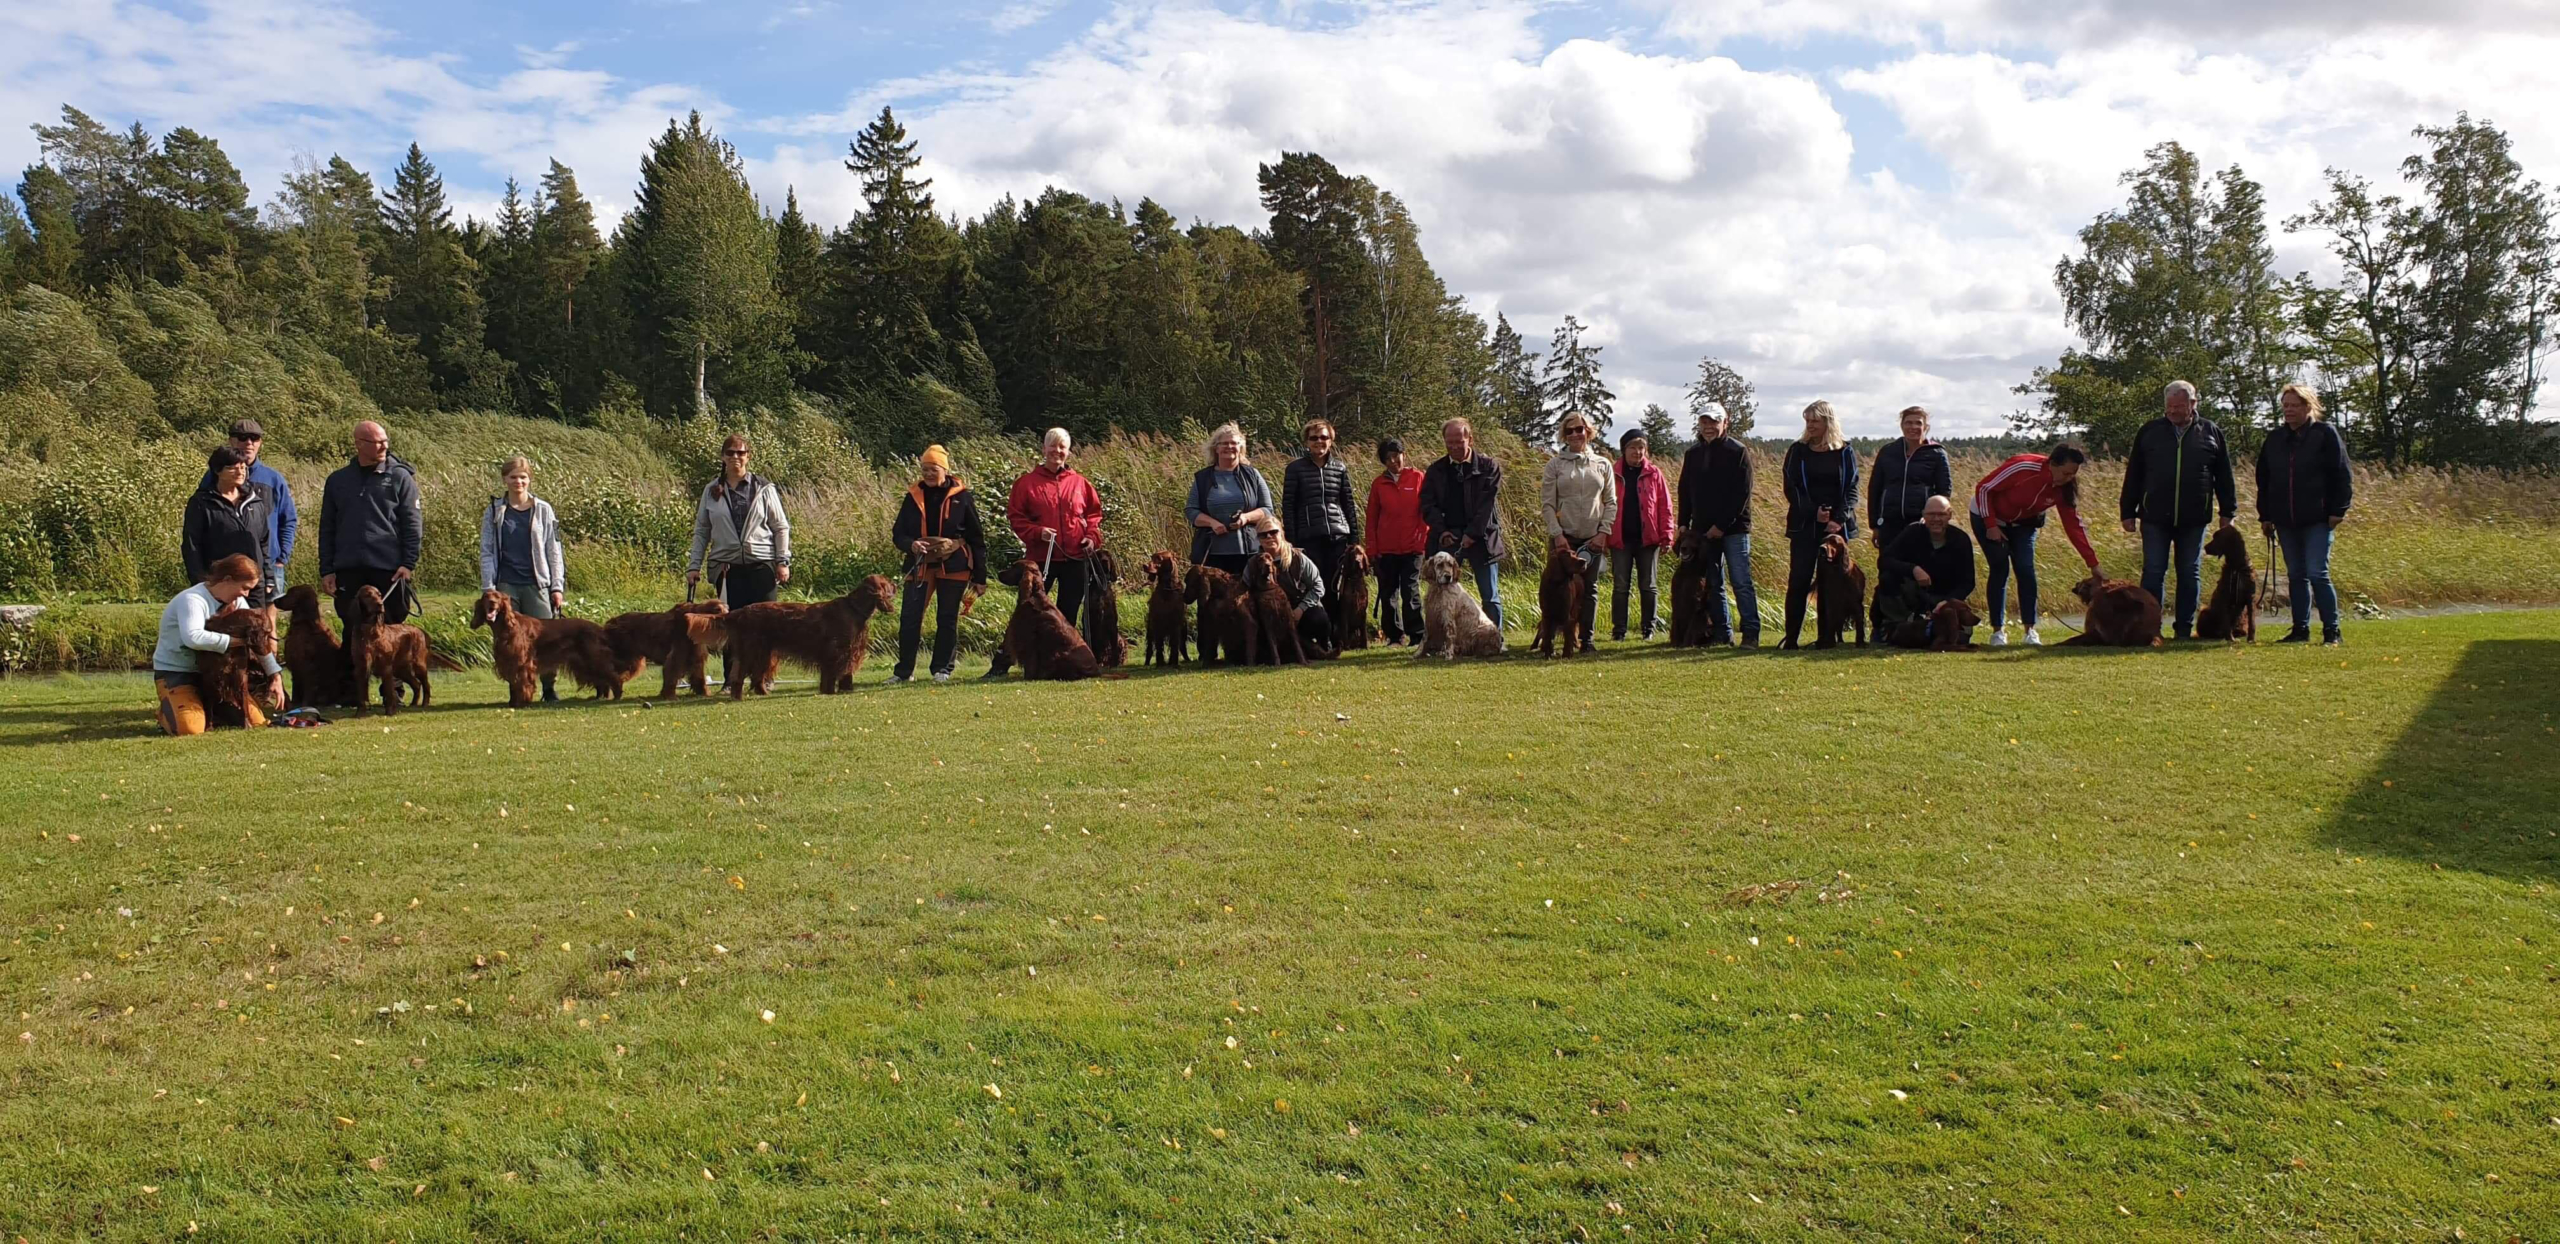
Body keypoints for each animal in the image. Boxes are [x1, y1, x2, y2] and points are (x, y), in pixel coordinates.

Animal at [345, 586, 445, 716]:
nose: (380, 604)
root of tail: (420, 630)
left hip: (418, 665)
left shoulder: (386, 667)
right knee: (416, 684)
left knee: (425, 684)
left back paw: (424, 704)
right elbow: (362, 695)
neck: (369, 631)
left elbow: (389, 691)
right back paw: (413, 704)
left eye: (379, 595)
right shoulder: (360, 667)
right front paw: (360, 714)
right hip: (400, 669)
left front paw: (390, 712)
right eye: (367, 595)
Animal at [473, 588, 627, 706]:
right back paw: (599, 697)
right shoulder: (509, 662)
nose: (492, 602)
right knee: (600, 678)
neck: (506, 627)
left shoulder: (522, 663)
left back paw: (616, 695)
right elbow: (514, 683)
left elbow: (522, 682)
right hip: (585, 662)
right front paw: (513, 702)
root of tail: (599, 628)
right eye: (486, 596)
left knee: (611, 675)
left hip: (593, 657)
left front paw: (521, 702)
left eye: (498, 597)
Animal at [721, 575, 901, 696]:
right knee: (739, 675)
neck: (854, 608)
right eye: (886, 583)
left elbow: (844, 673)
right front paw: (831, 692)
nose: (895, 584)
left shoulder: (849, 651)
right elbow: (832, 675)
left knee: (757, 676)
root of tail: (742, 611)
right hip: (751, 651)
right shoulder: (836, 652)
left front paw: (845, 689)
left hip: (764, 653)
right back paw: (737, 697)